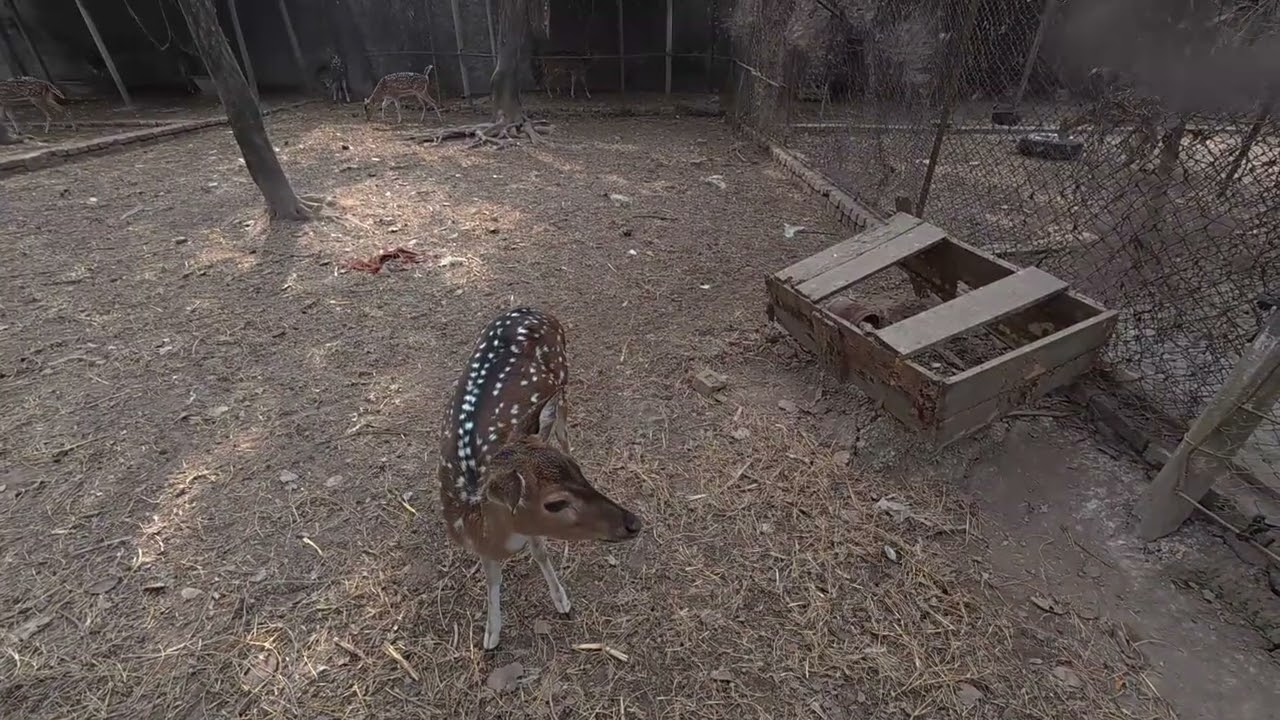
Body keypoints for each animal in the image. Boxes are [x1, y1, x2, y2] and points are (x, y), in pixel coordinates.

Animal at [437, 306, 642, 650]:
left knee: (563, 428)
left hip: (563, 385)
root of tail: (531, 310)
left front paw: (562, 601)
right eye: (555, 503)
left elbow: (540, 552)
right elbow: (492, 577)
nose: (633, 522)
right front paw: (491, 635)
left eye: (577, 470)